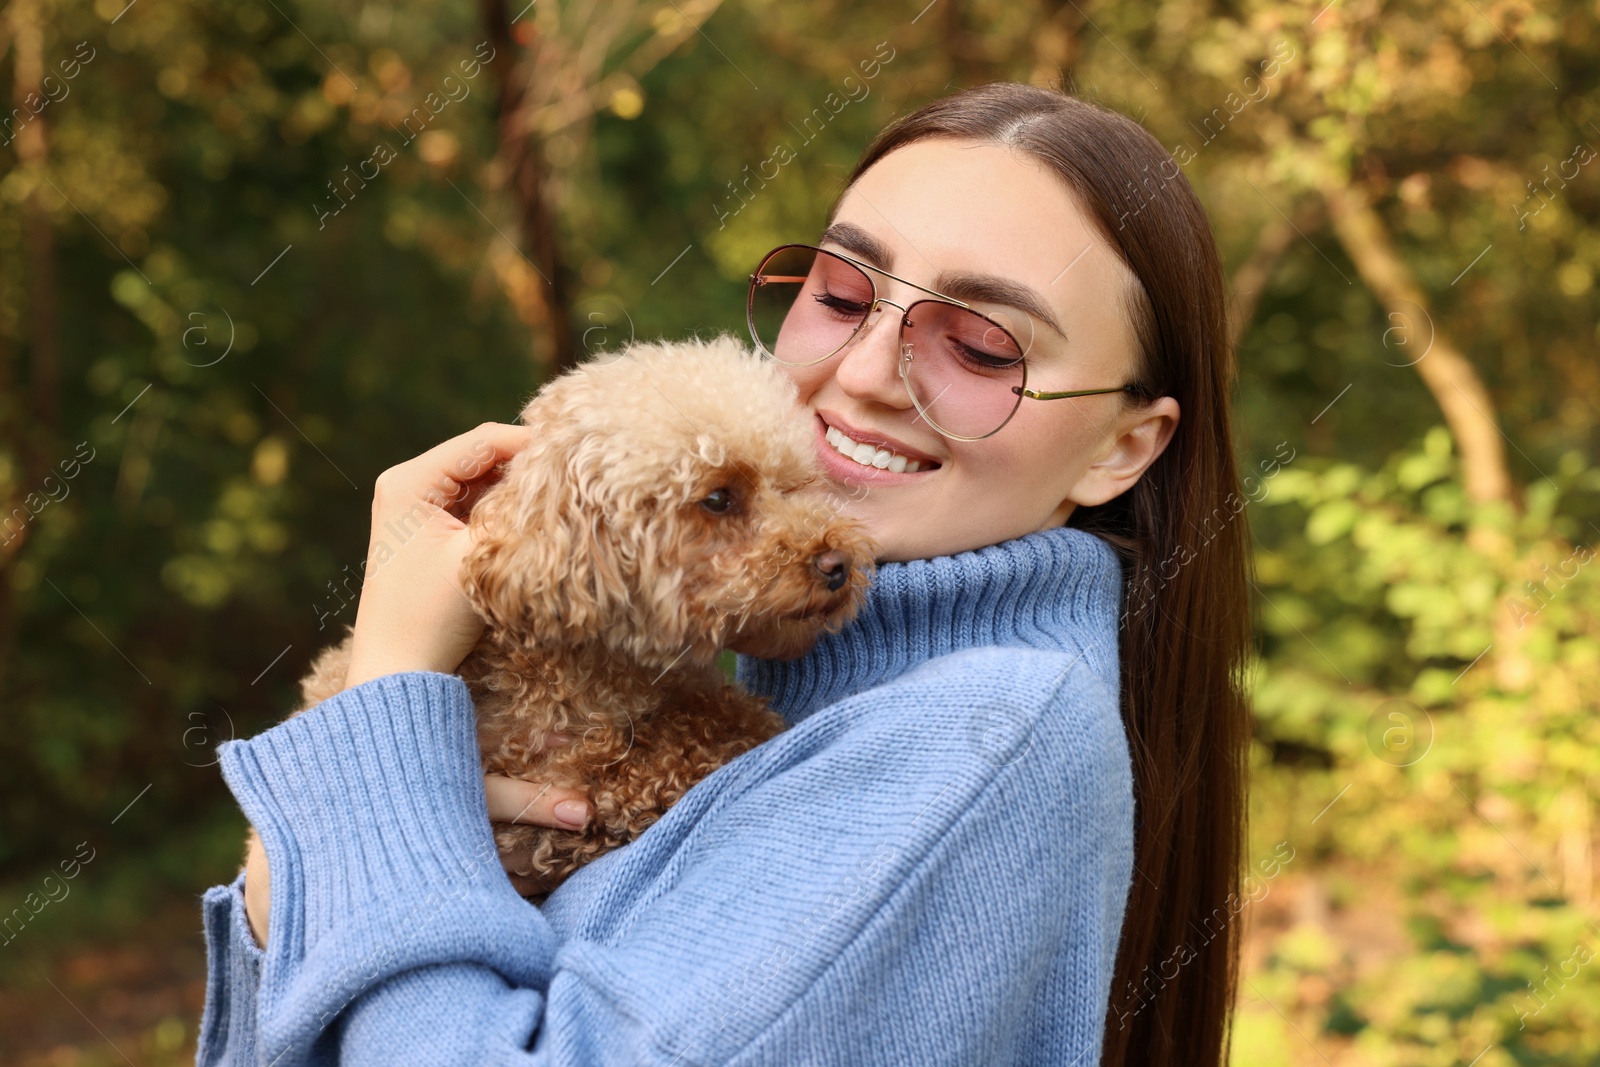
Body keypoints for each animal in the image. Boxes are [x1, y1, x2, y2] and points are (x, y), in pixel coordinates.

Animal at [254, 335, 876, 902]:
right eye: (719, 499)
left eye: (793, 486)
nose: (837, 564)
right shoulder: (564, 784)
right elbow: (676, 743)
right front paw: (753, 731)